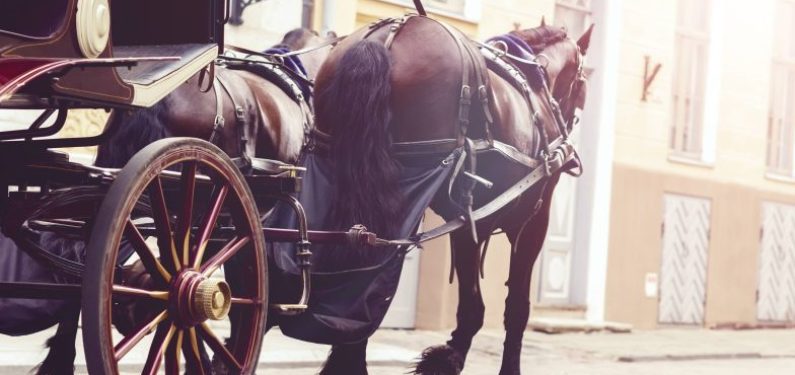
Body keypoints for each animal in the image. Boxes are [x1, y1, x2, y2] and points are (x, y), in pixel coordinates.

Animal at [310, 16, 592, 374]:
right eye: (582, 81)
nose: (569, 154)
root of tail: (389, 36)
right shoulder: (525, 221)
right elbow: (510, 307)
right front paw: (454, 357)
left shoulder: (469, 218)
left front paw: (445, 356)